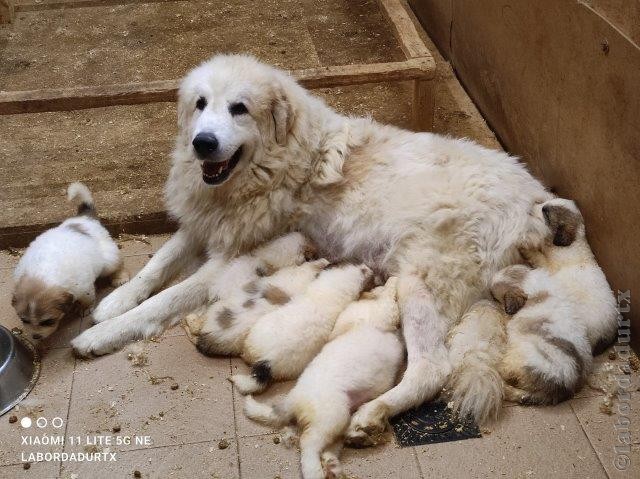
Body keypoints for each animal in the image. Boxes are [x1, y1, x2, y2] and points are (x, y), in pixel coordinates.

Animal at [12, 182, 126, 344]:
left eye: (48, 321)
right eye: (24, 320)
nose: (35, 336)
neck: (41, 275)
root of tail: (84, 218)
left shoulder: (84, 288)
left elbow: (87, 299)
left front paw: (85, 308)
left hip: (108, 260)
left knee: (118, 264)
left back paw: (120, 278)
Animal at [71, 54, 552, 436]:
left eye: (239, 109)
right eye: (201, 104)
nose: (203, 142)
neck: (278, 163)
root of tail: (534, 200)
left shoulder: (229, 260)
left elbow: (164, 299)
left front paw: (99, 334)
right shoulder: (203, 226)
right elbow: (155, 267)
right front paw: (114, 302)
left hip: (421, 282)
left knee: (431, 369)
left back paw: (372, 414)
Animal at [242, 278, 402, 479]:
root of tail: (291, 399)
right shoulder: (383, 312)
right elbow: (389, 296)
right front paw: (393, 281)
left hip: (340, 419)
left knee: (328, 449)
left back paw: (338, 460)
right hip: (331, 417)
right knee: (308, 444)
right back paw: (315, 471)